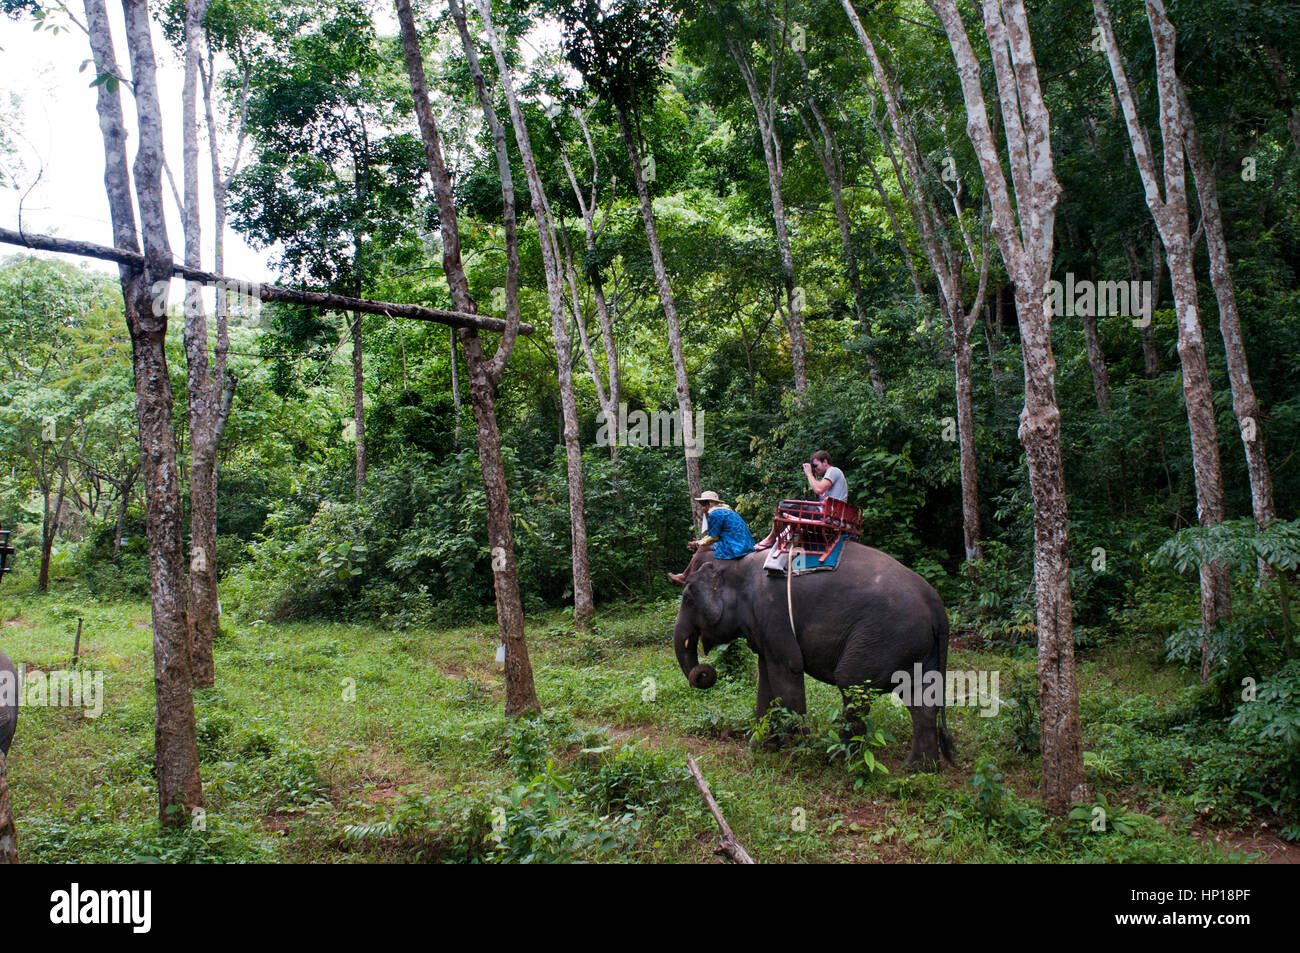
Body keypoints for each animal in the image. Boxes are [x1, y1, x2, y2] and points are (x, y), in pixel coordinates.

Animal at [670, 543, 956, 764]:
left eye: (688, 600)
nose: (704, 673)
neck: (737, 564)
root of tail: (937, 608)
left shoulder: (773, 613)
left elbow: (789, 670)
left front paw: (796, 752)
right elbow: (766, 676)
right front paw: (760, 747)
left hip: (886, 637)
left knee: (851, 684)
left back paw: (840, 758)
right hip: (916, 646)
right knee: (920, 700)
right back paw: (918, 768)